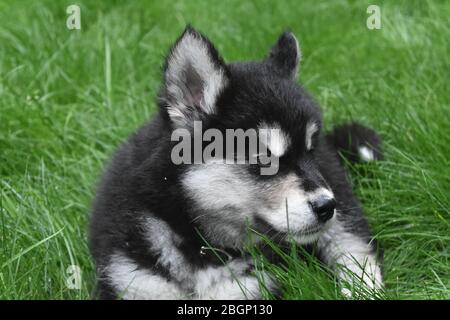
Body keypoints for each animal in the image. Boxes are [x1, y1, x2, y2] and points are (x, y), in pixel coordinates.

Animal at [89, 26, 384, 298]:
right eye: (264, 157)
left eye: (310, 152)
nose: (327, 206)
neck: (195, 235)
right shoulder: (133, 278)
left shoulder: (249, 287)